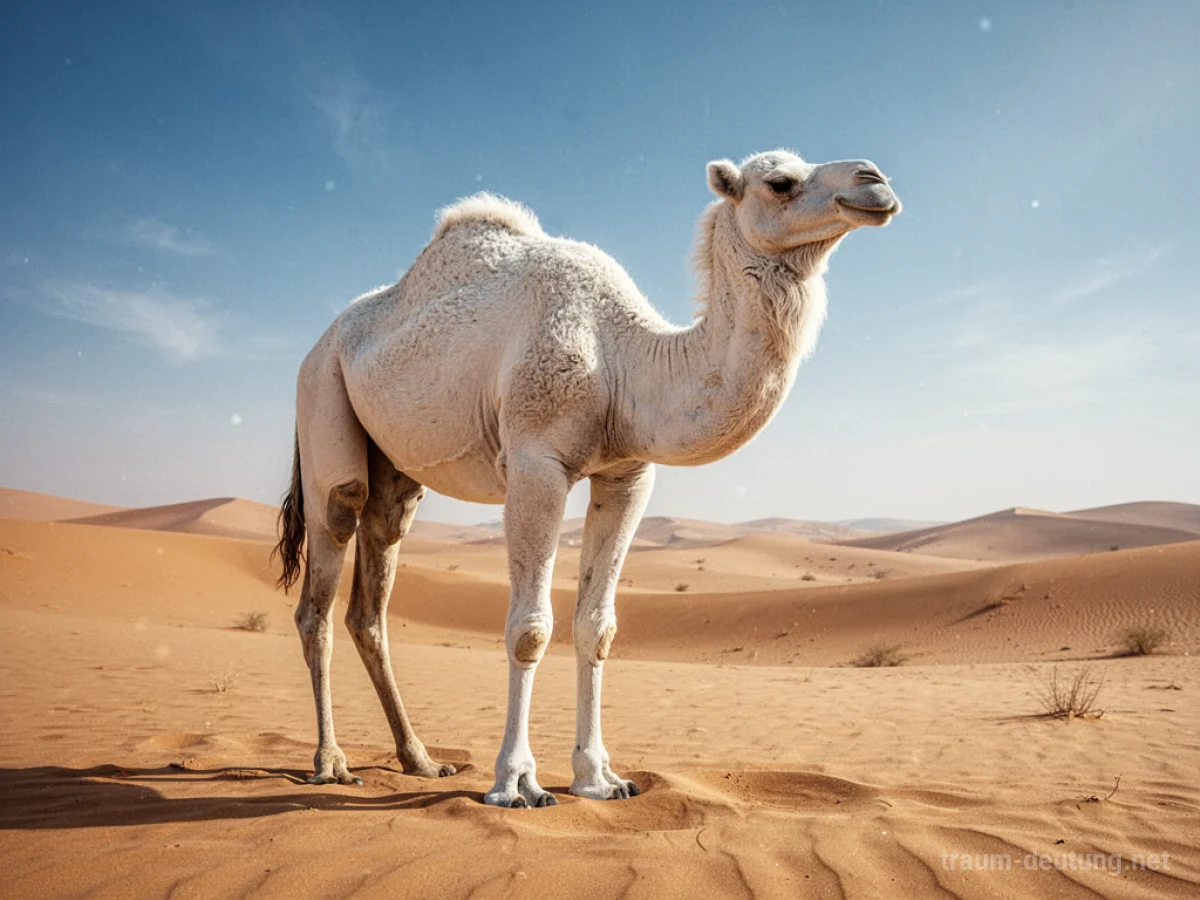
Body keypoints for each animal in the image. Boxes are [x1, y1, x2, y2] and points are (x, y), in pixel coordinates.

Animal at [273, 149, 901, 807]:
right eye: (781, 183)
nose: (874, 181)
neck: (624, 359)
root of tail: (319, 343)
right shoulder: (535, 463)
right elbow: (530, 629)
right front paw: (516, 783)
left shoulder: (627, 474)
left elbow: (596, 627)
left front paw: (599, 778)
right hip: (322, 396)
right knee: (325, 572)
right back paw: (332, 763)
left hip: (396, 469)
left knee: (373, 591)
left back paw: (420, 760)